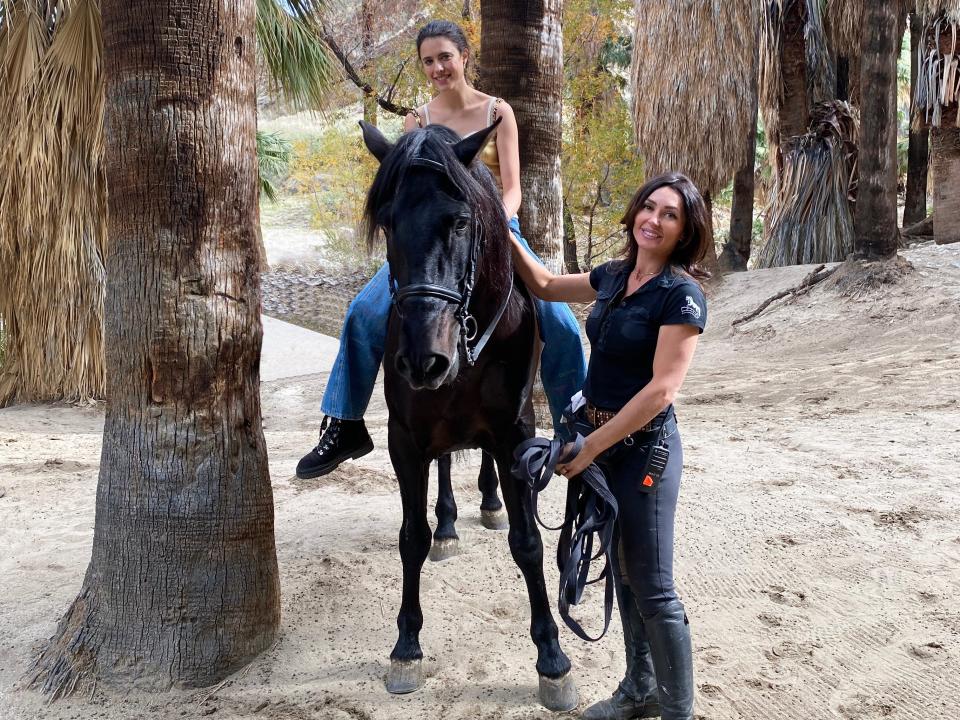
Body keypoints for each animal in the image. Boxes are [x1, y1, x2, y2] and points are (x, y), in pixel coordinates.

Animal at [356, 119, 572, 708]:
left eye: (459, 221)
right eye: (387, 222)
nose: (422, 358)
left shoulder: (516, 433)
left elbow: (528, 543)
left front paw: (552, 658)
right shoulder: (405, 438)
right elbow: (411, 537)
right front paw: (406, 648)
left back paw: (490, 501)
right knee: (448, 464)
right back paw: (451, 524)